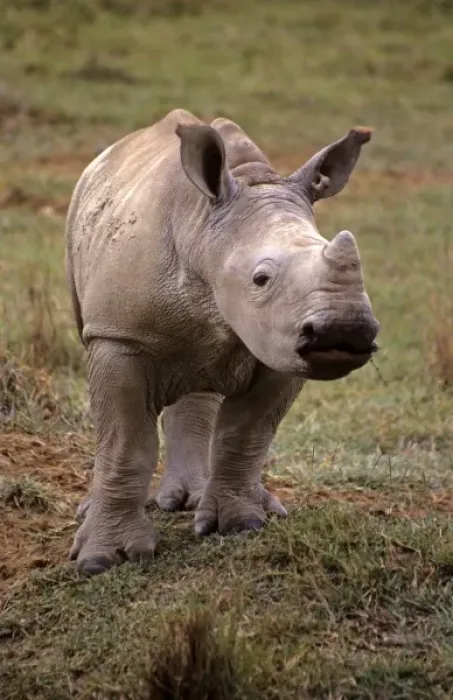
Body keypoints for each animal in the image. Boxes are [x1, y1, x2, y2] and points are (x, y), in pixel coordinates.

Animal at [65, 109, 379, 576]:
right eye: (261, 278)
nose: (345, 330)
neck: (206, 234)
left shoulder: (279, 343)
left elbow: (247, 432)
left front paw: (242, 522)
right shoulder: (118, 335)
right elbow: (126, 441)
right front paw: (105, 560)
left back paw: (213, 501)